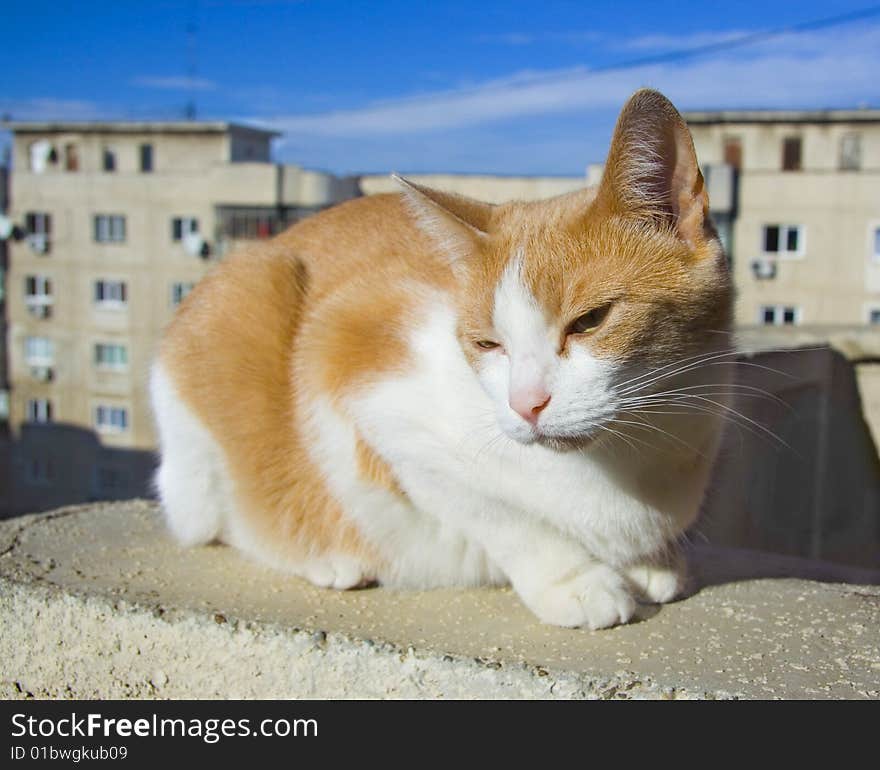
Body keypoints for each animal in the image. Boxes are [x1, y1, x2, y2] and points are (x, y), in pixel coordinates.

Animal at [150, 91, 728, 632]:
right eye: (488, 344)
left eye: (589, 320)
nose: (526, 405)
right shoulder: (356, 367)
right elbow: (502, 517)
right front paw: (575, 581)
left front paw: (652, 562)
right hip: (245, 301)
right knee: (224, 518)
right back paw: (326, 556)